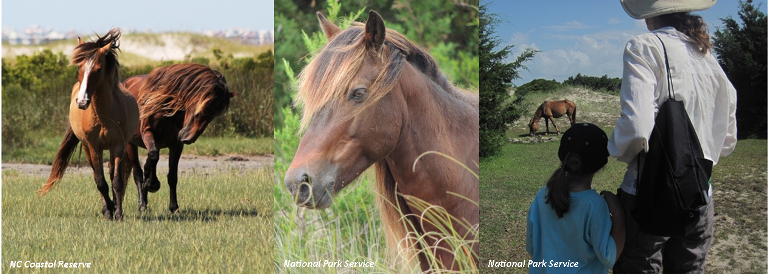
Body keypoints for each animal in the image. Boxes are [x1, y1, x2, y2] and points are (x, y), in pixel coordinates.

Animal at [38, 28, 140, 220]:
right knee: (96, 175)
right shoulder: (94, 147)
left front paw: (118, 213)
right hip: (86, 148)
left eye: (98, 69)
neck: (103, 115)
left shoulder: (118, 146)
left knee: (111, 173)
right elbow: (100, 182)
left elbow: (117, 181)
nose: (82, 102)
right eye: (79, 67)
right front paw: (108, 210)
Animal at [123, 63, 234, 213]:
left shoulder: (176, 145)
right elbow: (153, 156)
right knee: (138, 173)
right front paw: (153, 185)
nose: (188, 138)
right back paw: (142, 204)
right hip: (131, 144)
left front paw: (173, 206)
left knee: (146, 168)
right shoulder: (147, 133)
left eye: (213, 116)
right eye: (202, 109)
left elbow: (172, 176)